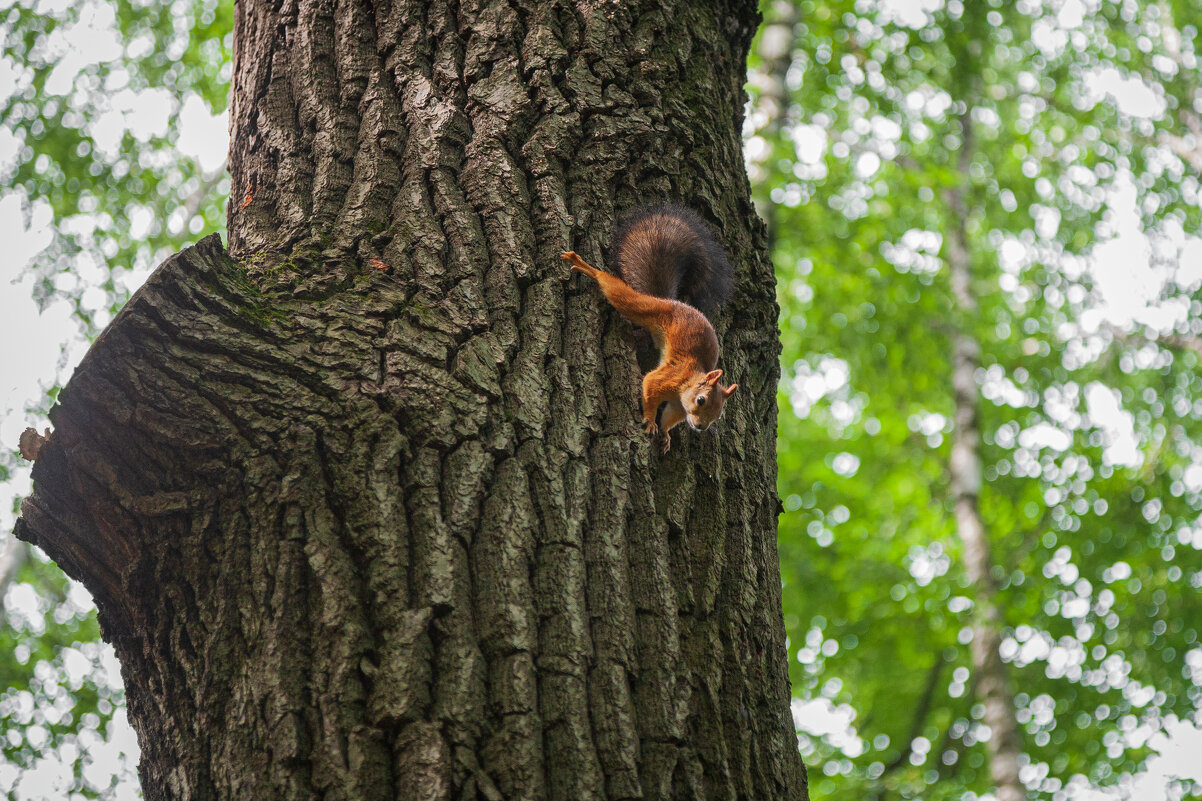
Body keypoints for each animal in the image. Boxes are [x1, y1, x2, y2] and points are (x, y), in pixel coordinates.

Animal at [564, 203, 740, 452]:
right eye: (701, 400)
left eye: (718, 415)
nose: (700, 427)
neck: (687, 381)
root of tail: (669, 302)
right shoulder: (666, 378)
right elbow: (649, 387)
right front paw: (649, 420)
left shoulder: (676, 407)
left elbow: (668, 417)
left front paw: (665, 435)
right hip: (642, 307)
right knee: (618, 292)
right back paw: (588, 268)